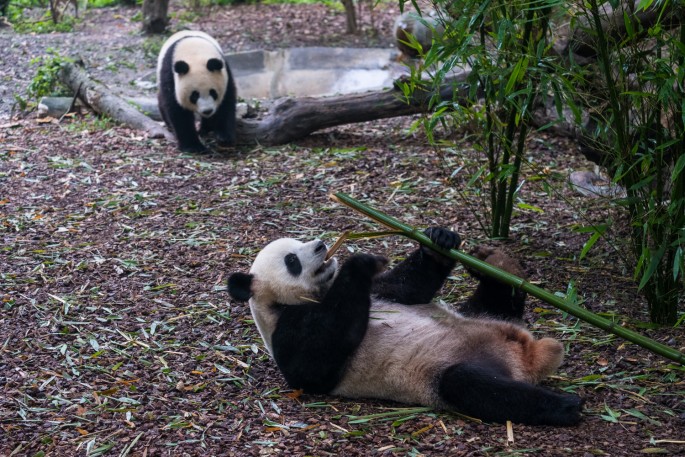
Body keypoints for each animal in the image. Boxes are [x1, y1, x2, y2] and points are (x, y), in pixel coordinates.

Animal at [230, 226, 584, 426]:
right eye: (291, 260)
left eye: (300, 241)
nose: (320, 246)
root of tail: (528, 355)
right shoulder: (286, 331)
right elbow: (318, 358)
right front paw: (359, 262)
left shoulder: (381, 293)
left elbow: (410, 288)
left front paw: (439, 240)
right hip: (449, 372)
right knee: (474, 386)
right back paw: (566, 407)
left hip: (485, 316)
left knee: (496, 302)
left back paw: (498, 264)